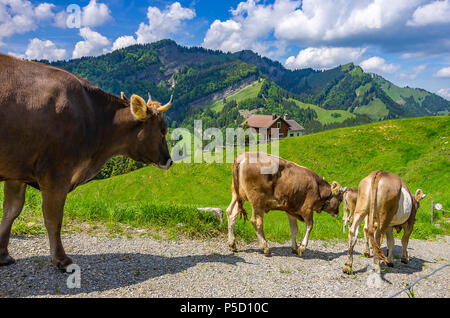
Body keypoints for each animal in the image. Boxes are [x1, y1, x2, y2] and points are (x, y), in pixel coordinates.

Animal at [0, 54, 173, 268]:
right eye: (162, 130)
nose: (169, 160)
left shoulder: (16, 172)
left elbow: (11, 211)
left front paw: (2, 254)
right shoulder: (56, 173)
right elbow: (53, 218)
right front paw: (61, 259)